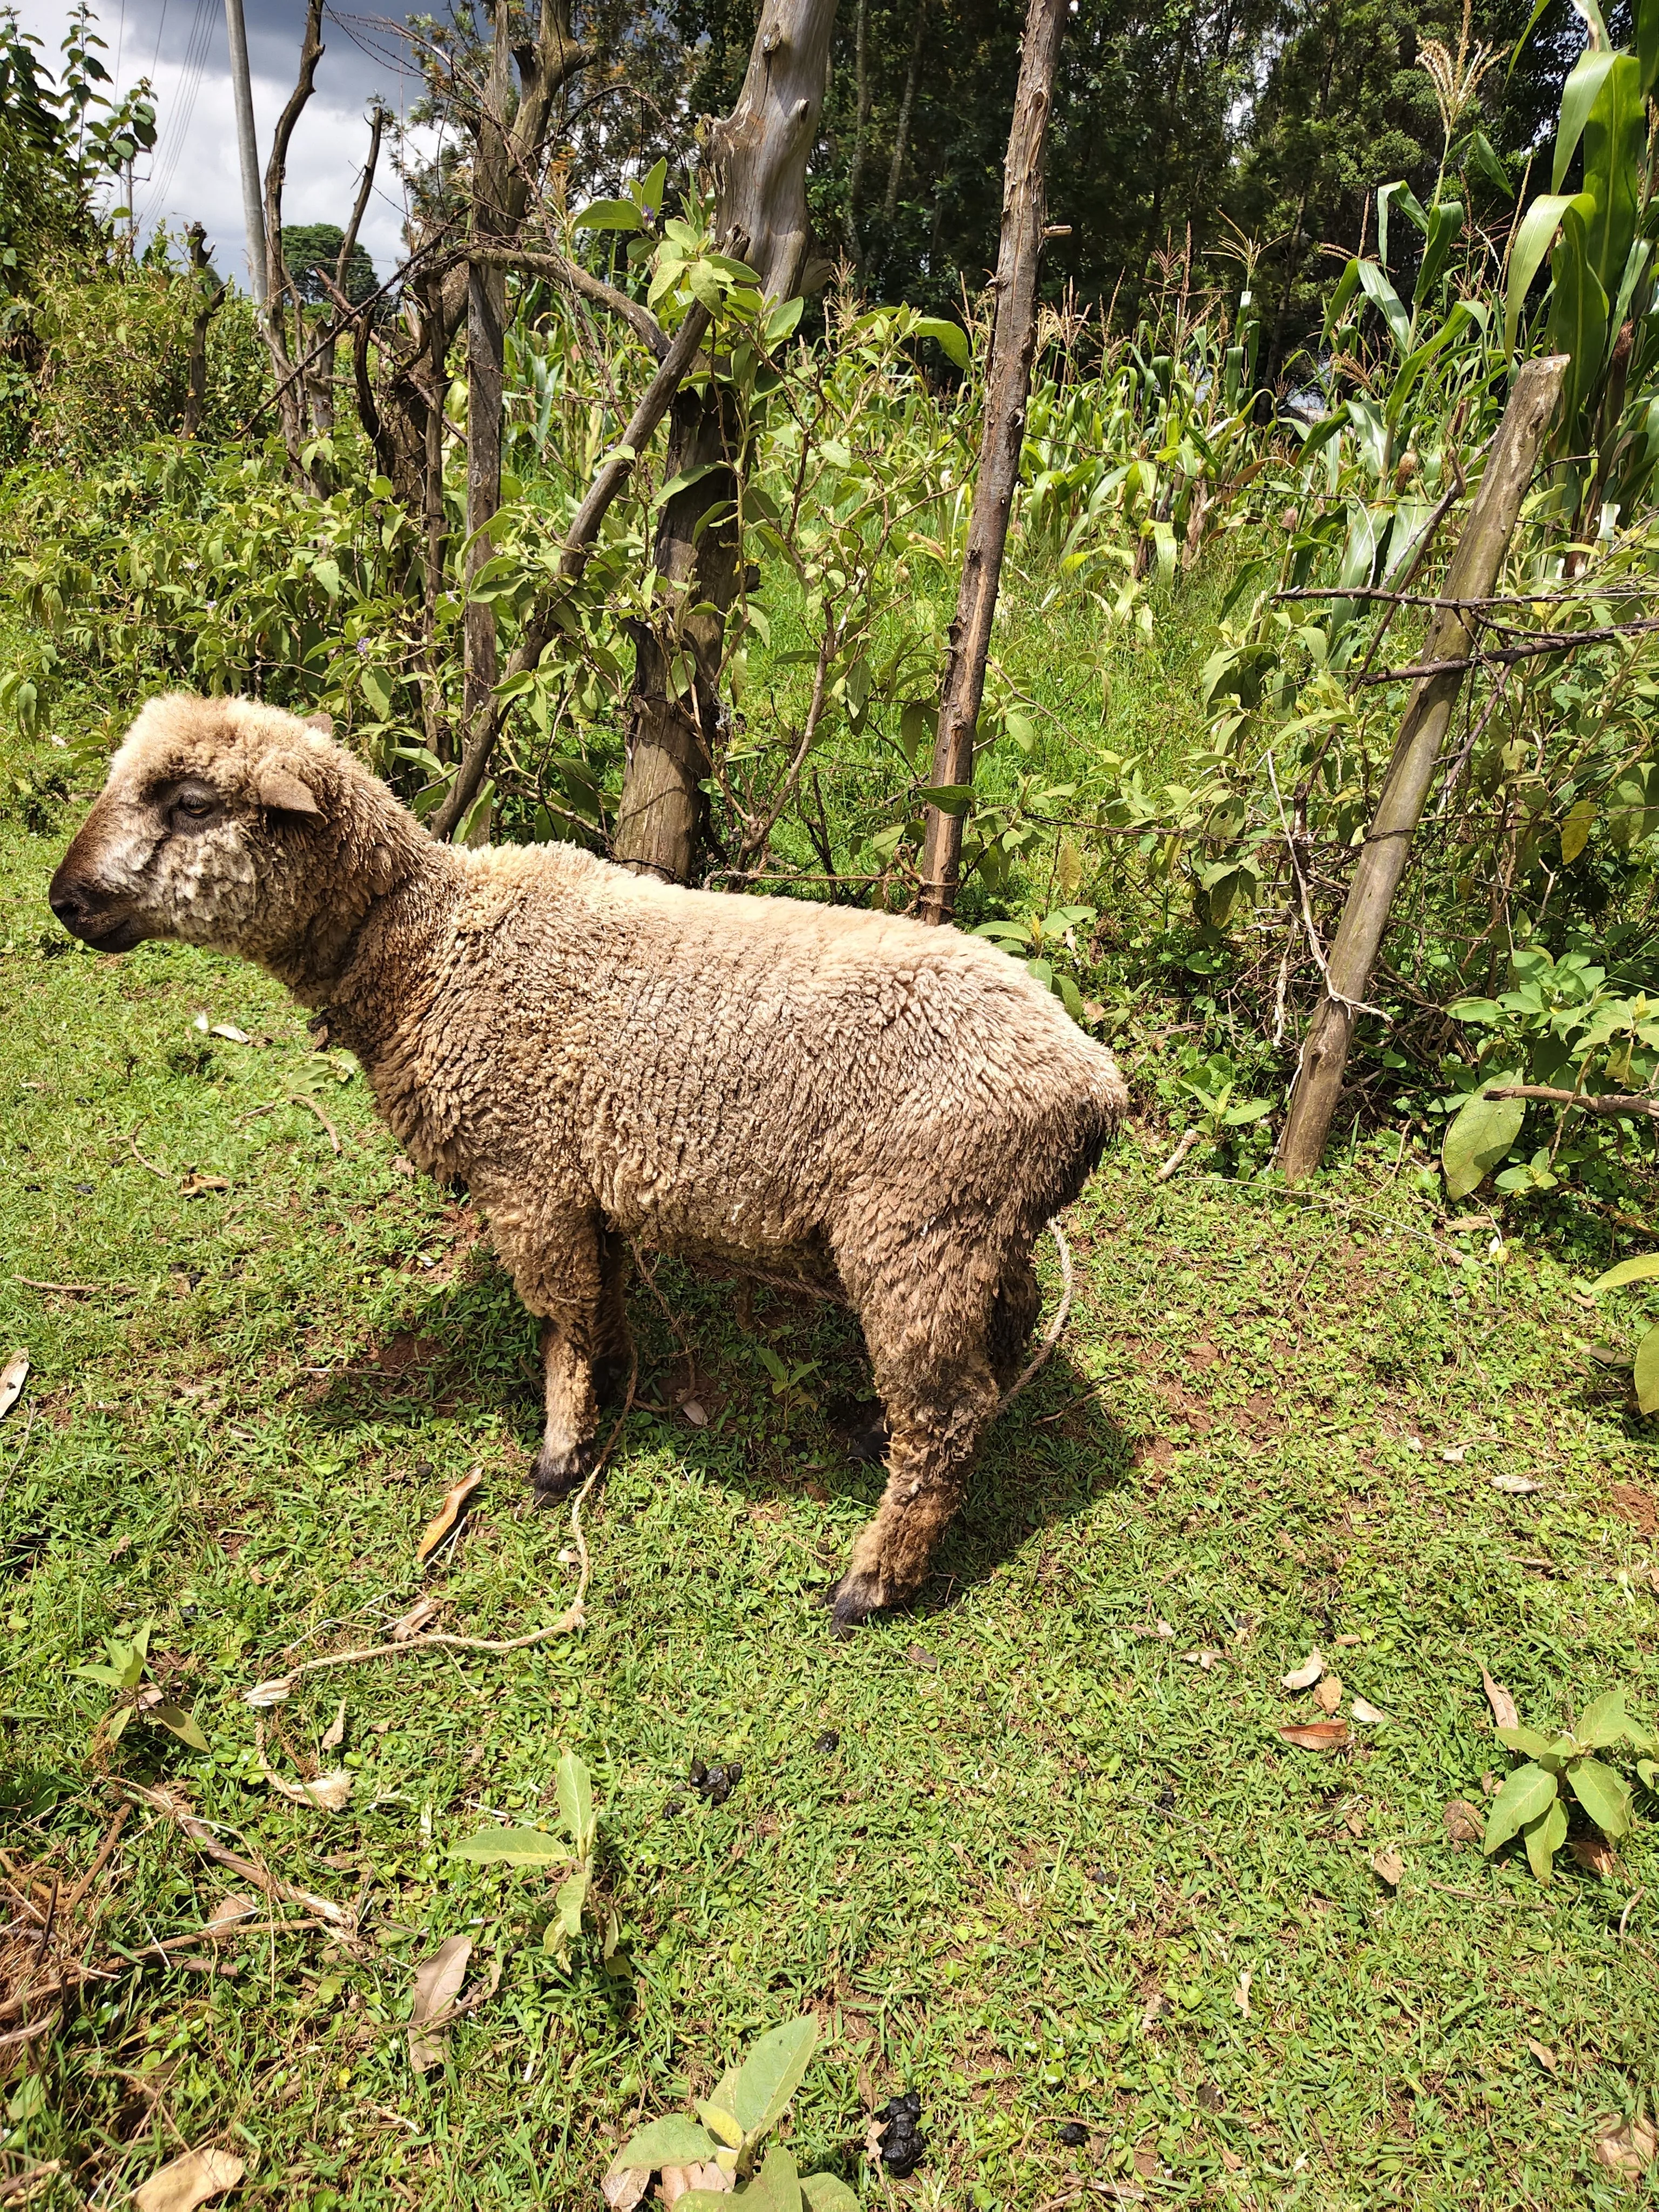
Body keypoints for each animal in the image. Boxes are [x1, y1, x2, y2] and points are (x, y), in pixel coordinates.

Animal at [49, 694, 1128, 1630]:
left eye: (192, 805)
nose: (66, 902)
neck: (422, 945)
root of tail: (1095, 1086)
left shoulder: (525, 1172)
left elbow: (557, 1318)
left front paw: (560, 1454)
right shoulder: (579, 1179)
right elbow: (595, 1301)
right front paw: (607, 1378)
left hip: (917, 1228)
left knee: (947, 1415)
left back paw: (872, 1581)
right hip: (976, 1227)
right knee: (1004, 1330)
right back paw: (881, 1429)